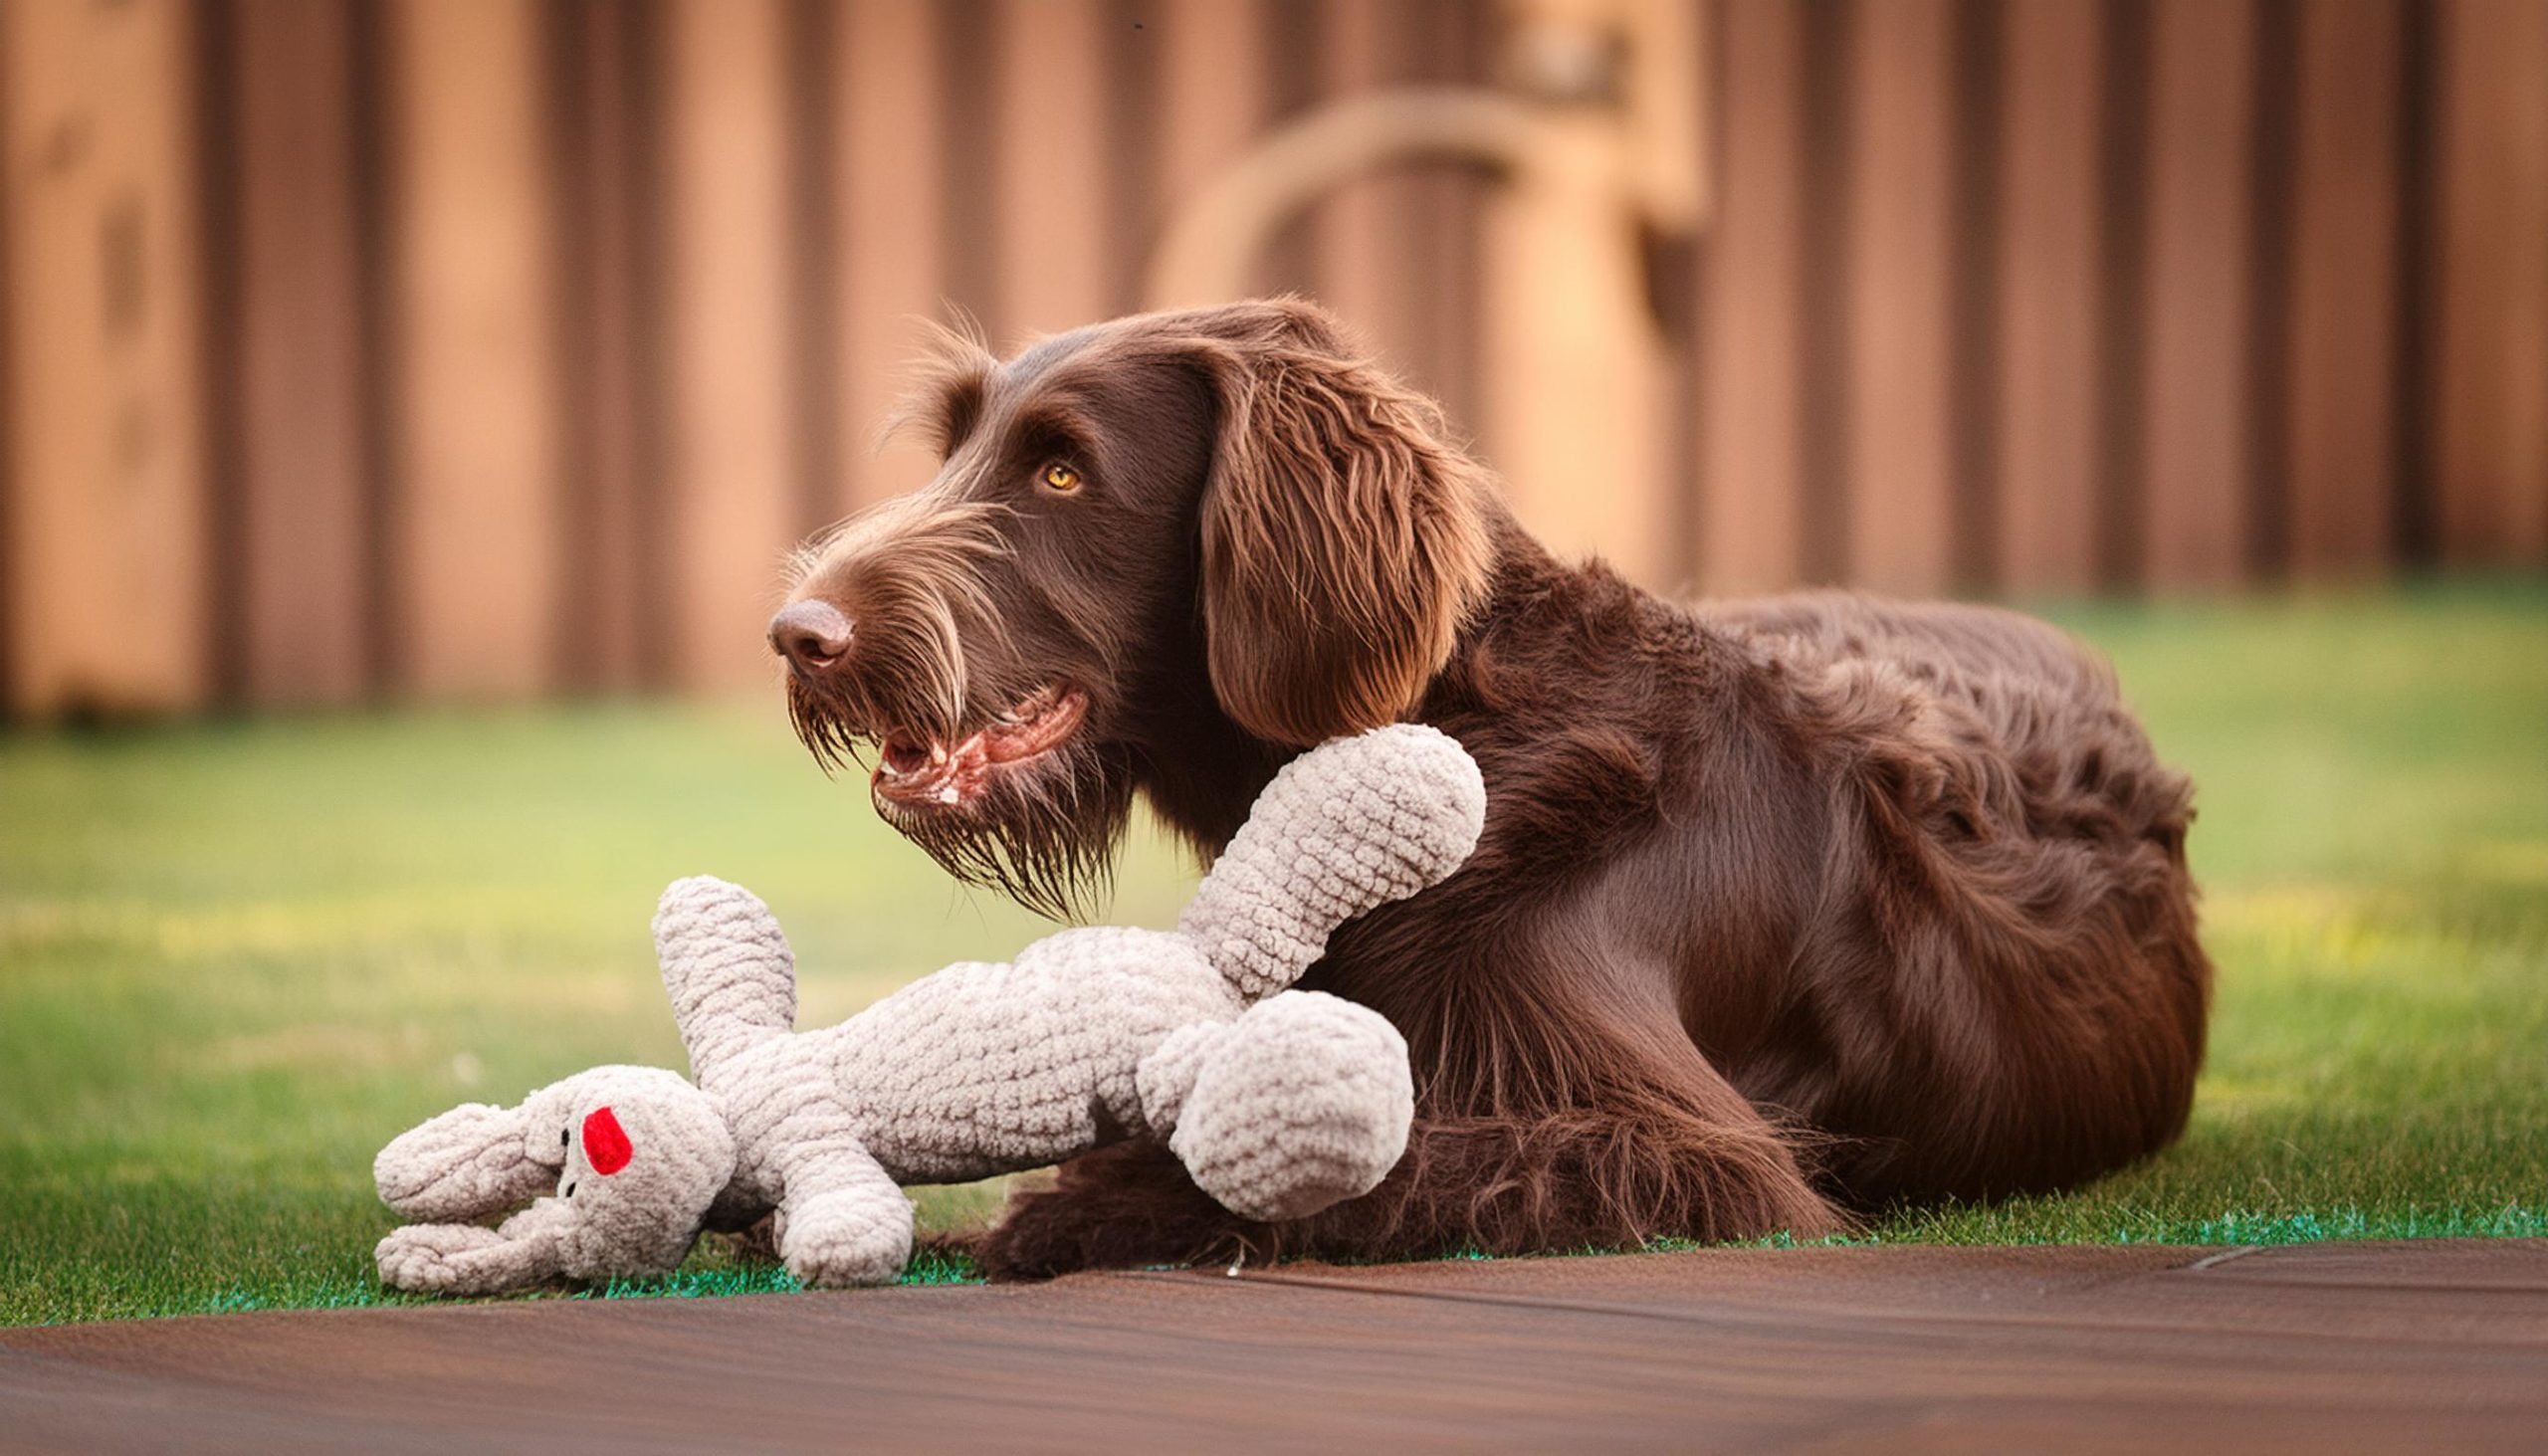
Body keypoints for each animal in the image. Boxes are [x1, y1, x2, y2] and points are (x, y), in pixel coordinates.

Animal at [769, 300, 2212, 1275]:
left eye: (1063, 471)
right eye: (954, 454)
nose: (796, 634)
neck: (1445, 732)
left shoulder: (1698, 1158)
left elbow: (1394, 1158)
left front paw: (1092, 1197)